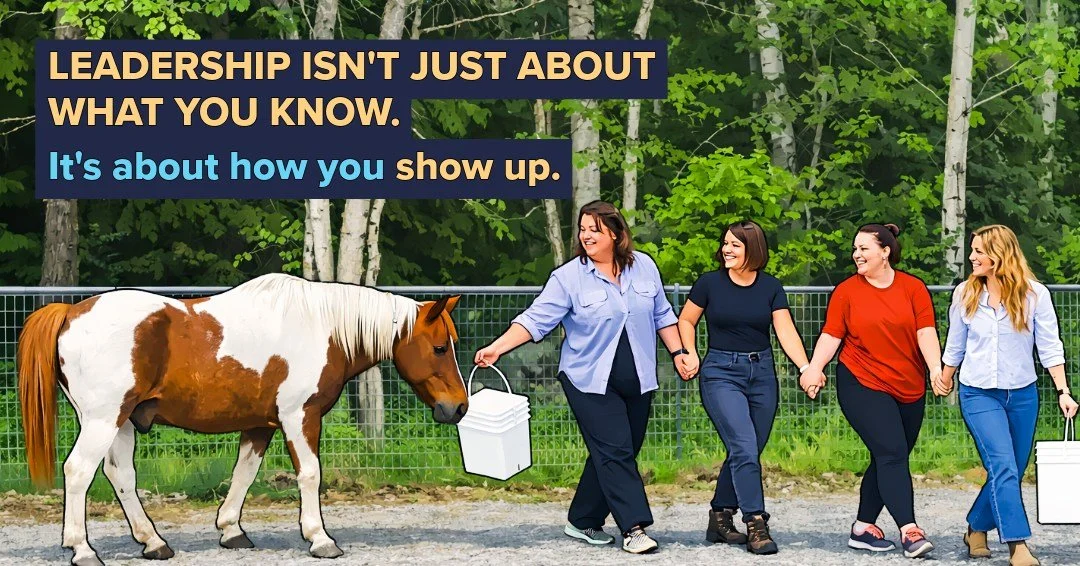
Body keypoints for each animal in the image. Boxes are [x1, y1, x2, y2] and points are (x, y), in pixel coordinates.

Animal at [17, 273, 469, 565]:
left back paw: (153, 542)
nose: (458, 407)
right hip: (103, 419)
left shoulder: (259, 425)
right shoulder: (300, 417)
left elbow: (244, 474)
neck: (321, 326)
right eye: (440, 347)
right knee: (78, 471)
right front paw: (320, 538)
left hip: (123, 421)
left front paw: (231, 530)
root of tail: (72, 312)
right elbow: (310, 475)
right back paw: (82, 549)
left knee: (120, 475)